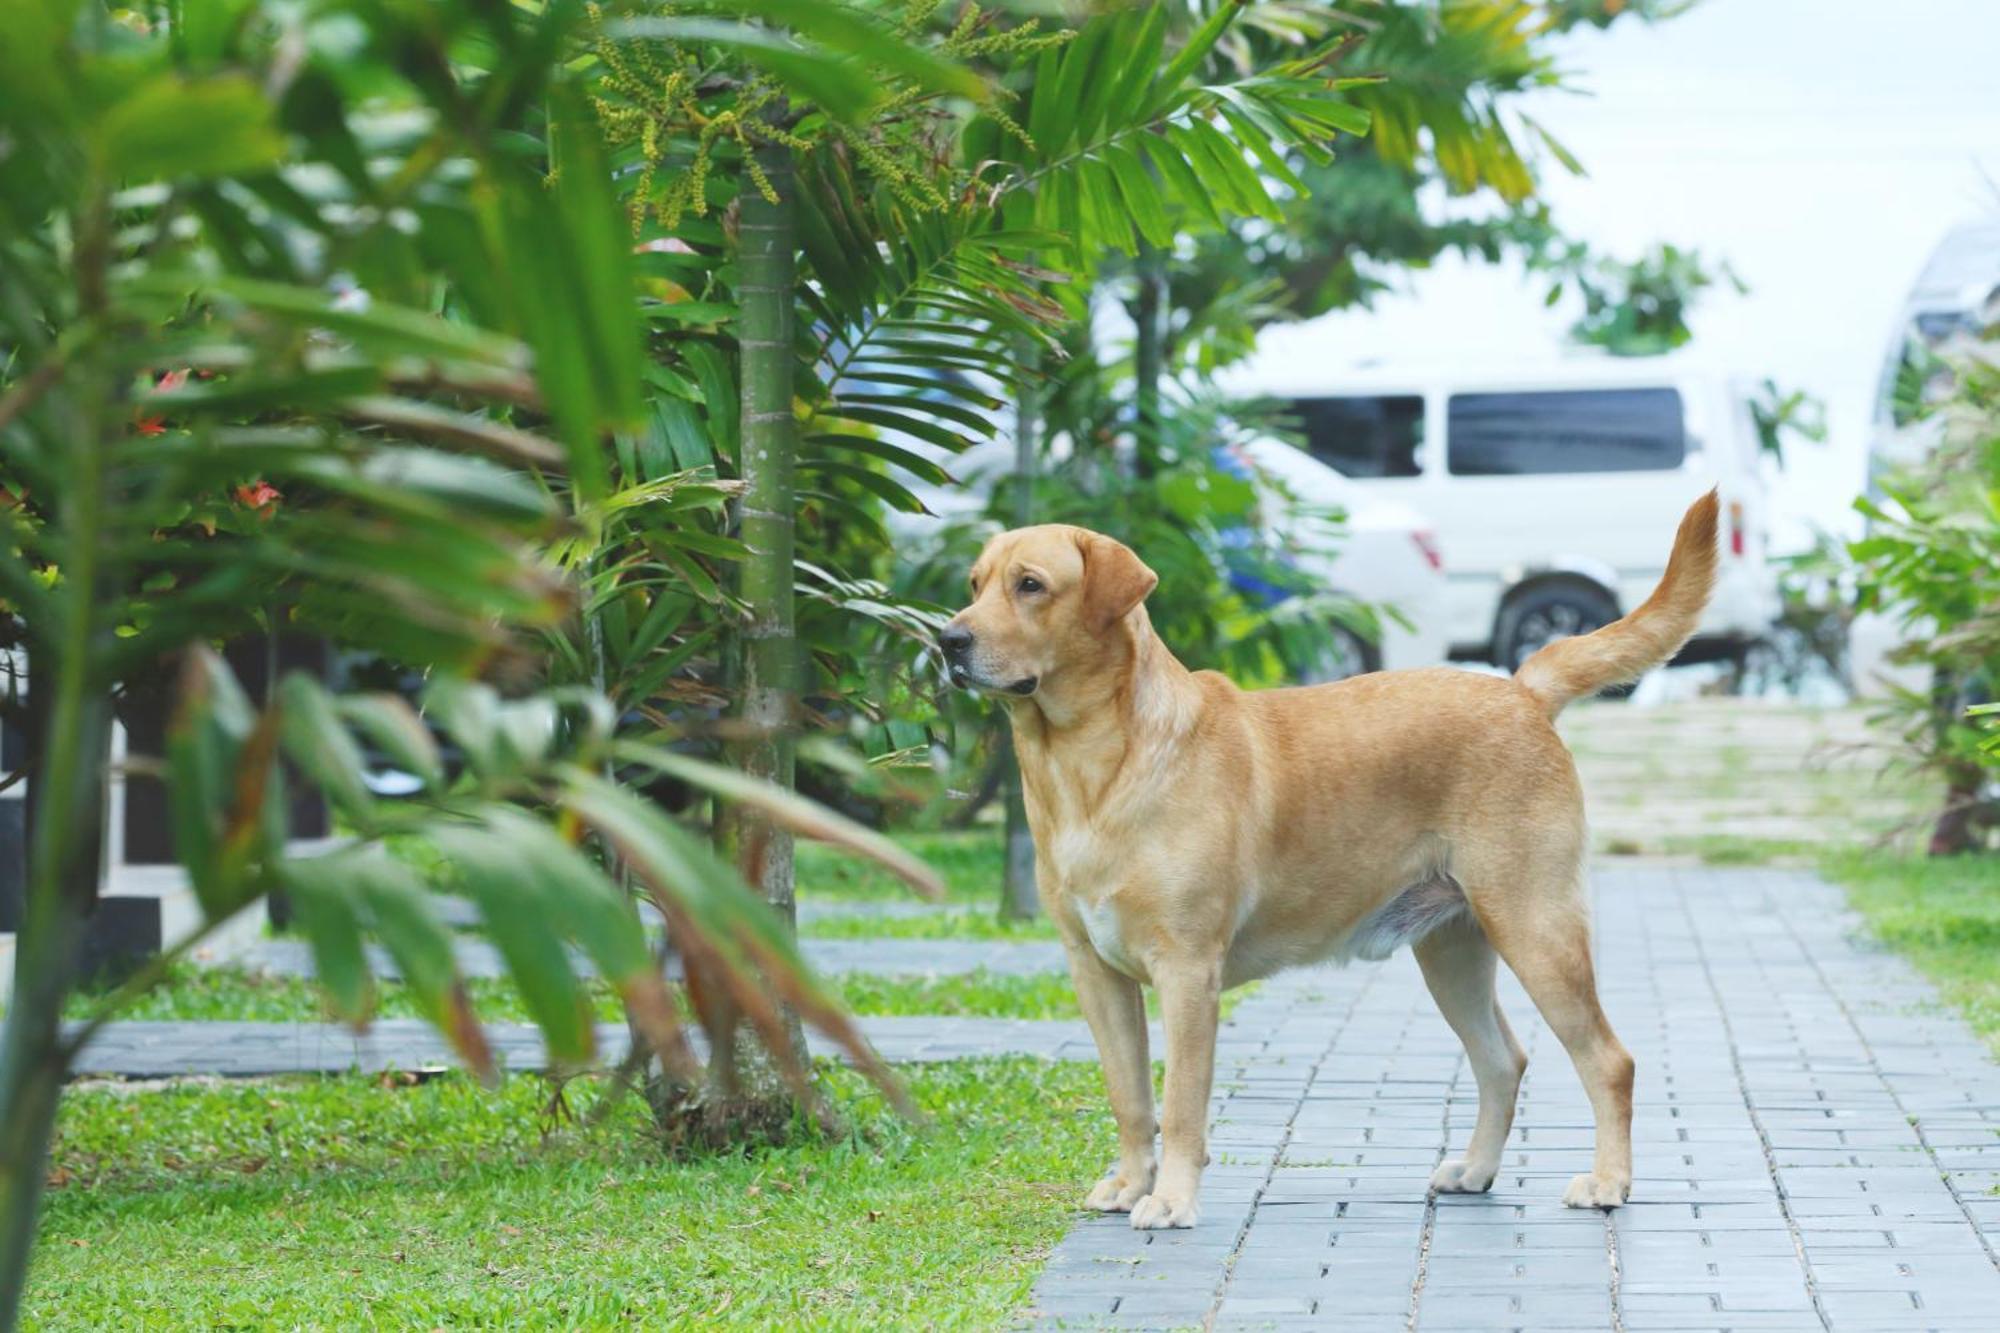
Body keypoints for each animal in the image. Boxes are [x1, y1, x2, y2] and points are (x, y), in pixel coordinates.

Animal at [940, 488, 1720, 1224]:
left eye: (1031, 585)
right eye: (975, 583)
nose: (948, 639)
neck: (1089, 770)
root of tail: (1522, 690)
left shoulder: (1187, 969)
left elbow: (1183, 1104)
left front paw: (1171, 1200)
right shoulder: (1094, 970)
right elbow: (1130, 1096)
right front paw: (1132, 1183)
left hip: (1536, 926)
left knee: (1608, 1060)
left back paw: (1609, 1181)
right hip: (1452, 949)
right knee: (1504, 1059)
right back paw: (1474, 1170)